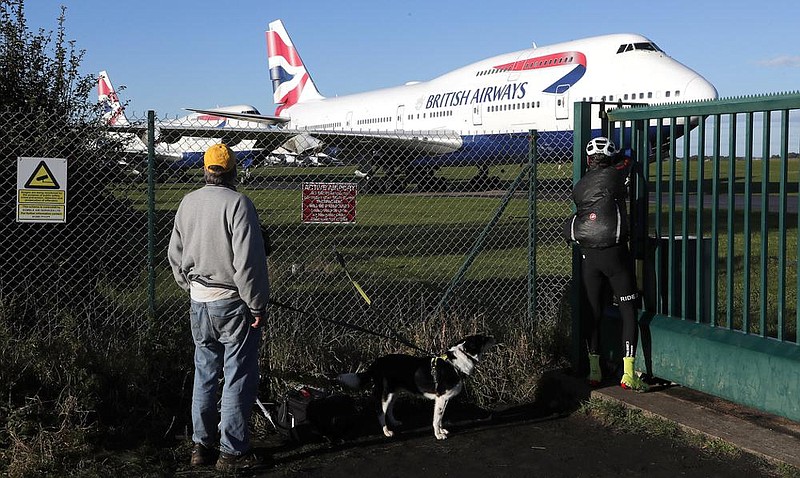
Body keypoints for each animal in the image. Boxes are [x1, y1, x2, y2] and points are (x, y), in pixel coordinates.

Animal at [336, 334, 494, 438]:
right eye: (482, 338)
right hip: (386, 394)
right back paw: (386, 431)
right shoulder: (441, 398)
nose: (492, 336)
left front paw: (441, 431)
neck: (455, 364)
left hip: (395, 392)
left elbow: (440, 418)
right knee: (380, 412)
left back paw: (395, 422)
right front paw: (438, 435)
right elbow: (436, 419)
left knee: (390, 409)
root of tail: (377, 362)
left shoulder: (444, 399)